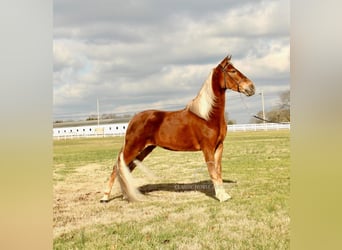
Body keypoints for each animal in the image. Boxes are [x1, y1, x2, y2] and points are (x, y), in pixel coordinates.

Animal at [100, 55, 255, 202]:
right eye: (232, 71)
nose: (251, 87)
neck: (207, 116)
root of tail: (133, 119)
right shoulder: (208, 148)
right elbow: (213, 172)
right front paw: (221, 196)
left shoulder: (219, 146)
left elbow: (218, 171)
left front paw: (224, 194)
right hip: (132, 148)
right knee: (116, 168)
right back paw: (105, 197)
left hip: (144, 150)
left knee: (126, 169)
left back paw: (127, 195)